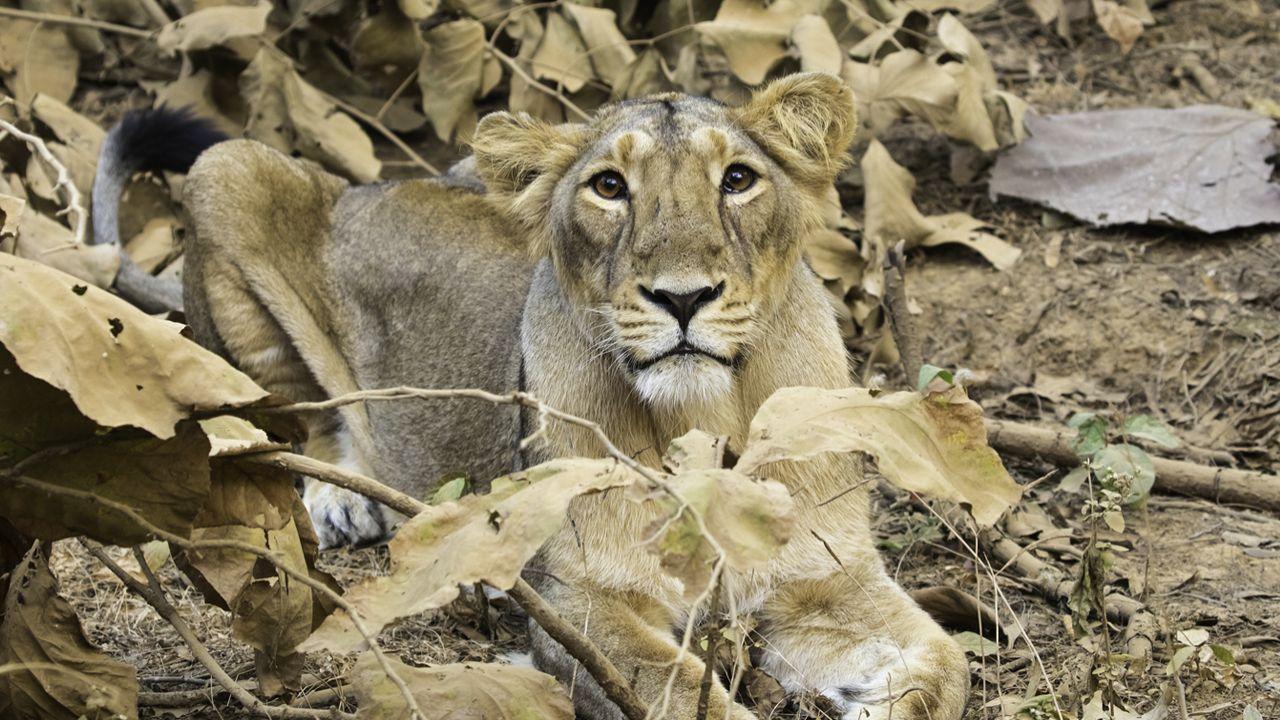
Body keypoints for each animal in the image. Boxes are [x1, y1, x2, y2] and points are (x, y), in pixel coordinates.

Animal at [92, 73, 967, 717]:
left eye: (739, 180)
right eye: (609, 187)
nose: (682, 297)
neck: (704, 415)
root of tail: (370, 186)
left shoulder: (833, 583)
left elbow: (947, 665)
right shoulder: (580, 604)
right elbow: (682, 692)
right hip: (227, 169)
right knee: (291, 417)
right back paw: (343, 499)